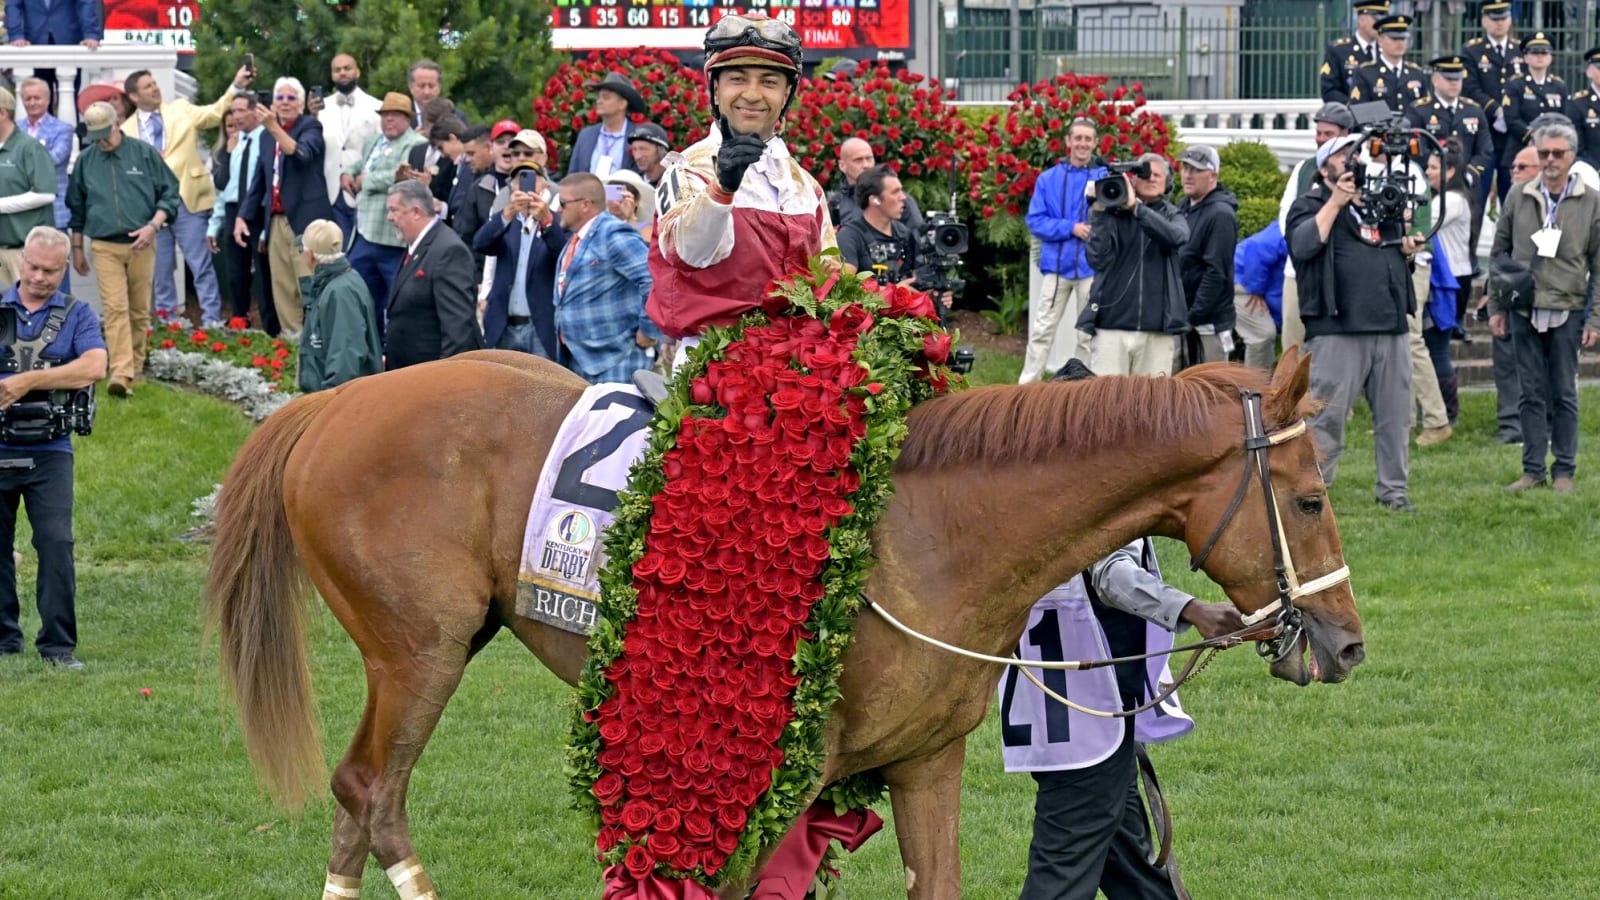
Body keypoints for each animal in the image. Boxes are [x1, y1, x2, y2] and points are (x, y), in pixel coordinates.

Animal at [206, 347, 1369, 890]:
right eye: (1312, 499)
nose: (1347, 641)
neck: (927, 531)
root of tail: (329, 403)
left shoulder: (925, 762)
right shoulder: (782, 777)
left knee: (357, 796)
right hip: (422, 650)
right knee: (375, 791)